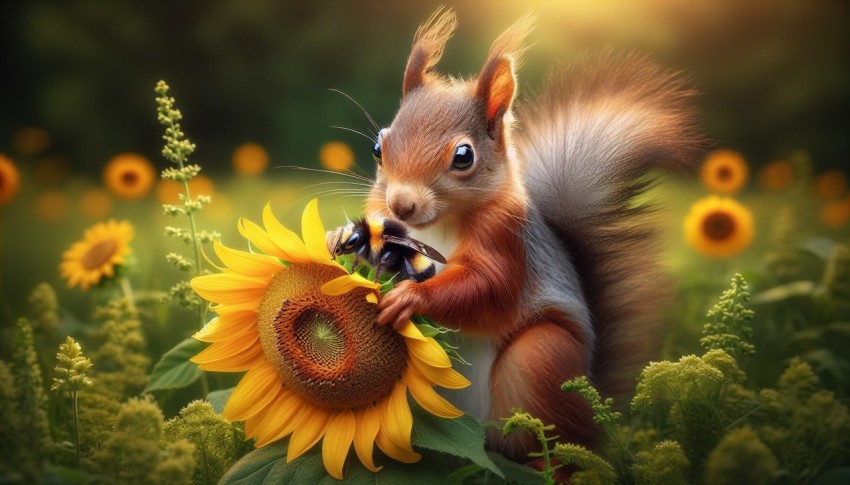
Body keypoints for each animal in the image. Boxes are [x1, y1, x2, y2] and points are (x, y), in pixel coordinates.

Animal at [356, 8, 704, 461]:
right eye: (379, 148)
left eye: (464, 156)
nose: (401, 205)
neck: (434, 226)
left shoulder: (507, 240)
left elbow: (489, 288)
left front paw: (411, 298)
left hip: (541, 362)